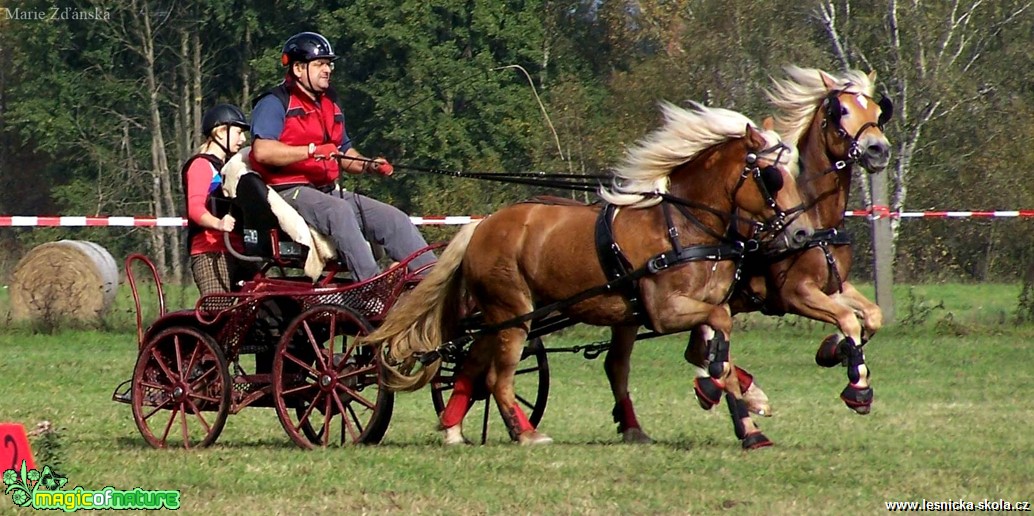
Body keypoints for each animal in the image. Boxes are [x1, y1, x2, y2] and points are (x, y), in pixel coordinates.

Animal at [363, 100, 814, 448]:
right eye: (772, 177)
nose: (802, 233)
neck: (682, 227)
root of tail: (483, 225)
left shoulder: (673, 310)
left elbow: (709, 345)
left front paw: (746, 412)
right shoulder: (666, 310)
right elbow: (716, 333)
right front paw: (727, 400)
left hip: (504, 316)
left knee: (473, 365)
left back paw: (454, 429)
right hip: (514, 313)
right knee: (498, 376)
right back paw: (527, 434)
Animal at [603, 65, 889, 444]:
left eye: (878, 111)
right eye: (839, 110)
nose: (878, 150)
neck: (814, 216)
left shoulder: (833, 286)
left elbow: (871, 315)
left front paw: (834, 350)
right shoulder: (796, 293)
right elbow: (847, 319)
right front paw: (857, 386)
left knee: (691, 351)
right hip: (634, 311)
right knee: (624, 363)